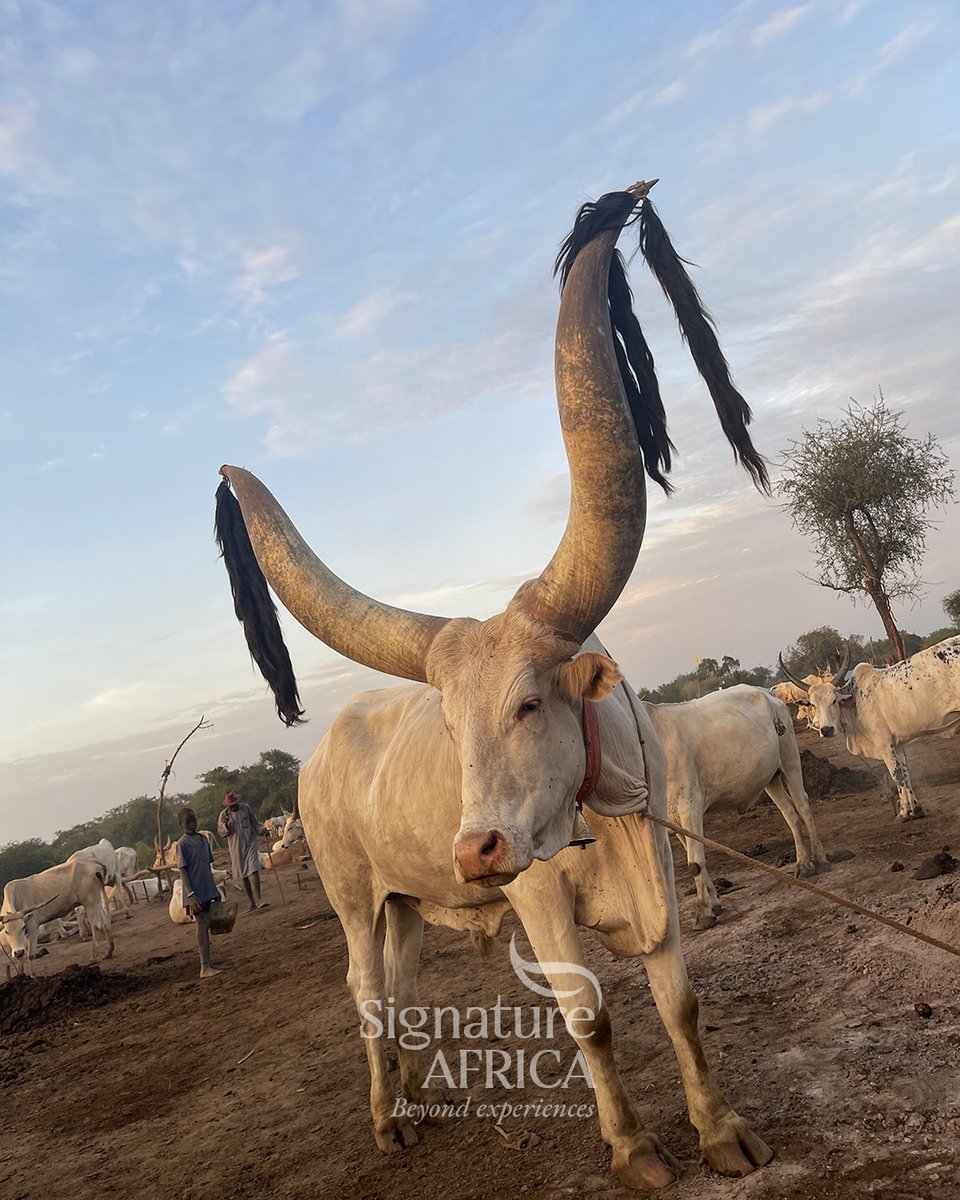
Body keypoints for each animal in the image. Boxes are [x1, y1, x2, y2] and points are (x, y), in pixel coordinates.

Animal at [214, 182, 773, 1188]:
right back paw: (386, 1118)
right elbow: (590, 1014)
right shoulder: (538, 895)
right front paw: (635, 1149)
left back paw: (418, 1096)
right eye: (449, 726)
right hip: (349, 891)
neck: (601, 807)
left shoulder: (661, 861)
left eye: (529, 702)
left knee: (401, 982)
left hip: (401, 899)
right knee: (364, 987)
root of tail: (313, 760)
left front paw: (722, 1132)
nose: (476, 849)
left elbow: (682, 1003)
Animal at [643, 685, 829, 929]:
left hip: (789, 759)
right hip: (770, 776)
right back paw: (804, 863)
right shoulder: (671, 819)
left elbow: (695, 862)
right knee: (790, 813)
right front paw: (714, 903)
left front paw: (704, 912)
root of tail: (768, 694)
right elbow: (696, 860)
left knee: (803, 805)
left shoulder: (689, 806)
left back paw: (820, 859)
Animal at [779, 636, 960, 820]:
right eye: (813, 704)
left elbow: (897, 775)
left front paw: (904, 812)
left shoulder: (884, 744)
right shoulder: (897, 745)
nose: (826, 730)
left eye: (834, 701)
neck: (854, 703)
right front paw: (914, 809)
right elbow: (905, 775)